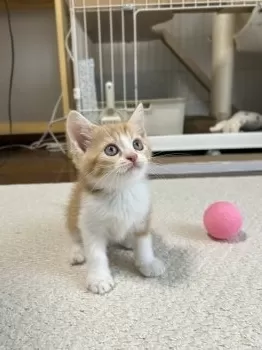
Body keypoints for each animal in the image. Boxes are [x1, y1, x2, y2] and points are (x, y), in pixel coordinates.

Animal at [65, 102, 165, 294]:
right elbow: (95, 254)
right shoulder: (90, 224)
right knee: (73, 234)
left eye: (137, 144)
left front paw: (148, 263)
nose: (133, 156)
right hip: (73, 210)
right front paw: (99, 279)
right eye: (111, 150)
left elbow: (144, 242)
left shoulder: (143, 215)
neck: (121, 191)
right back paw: (76, 252)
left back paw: (128, 241)